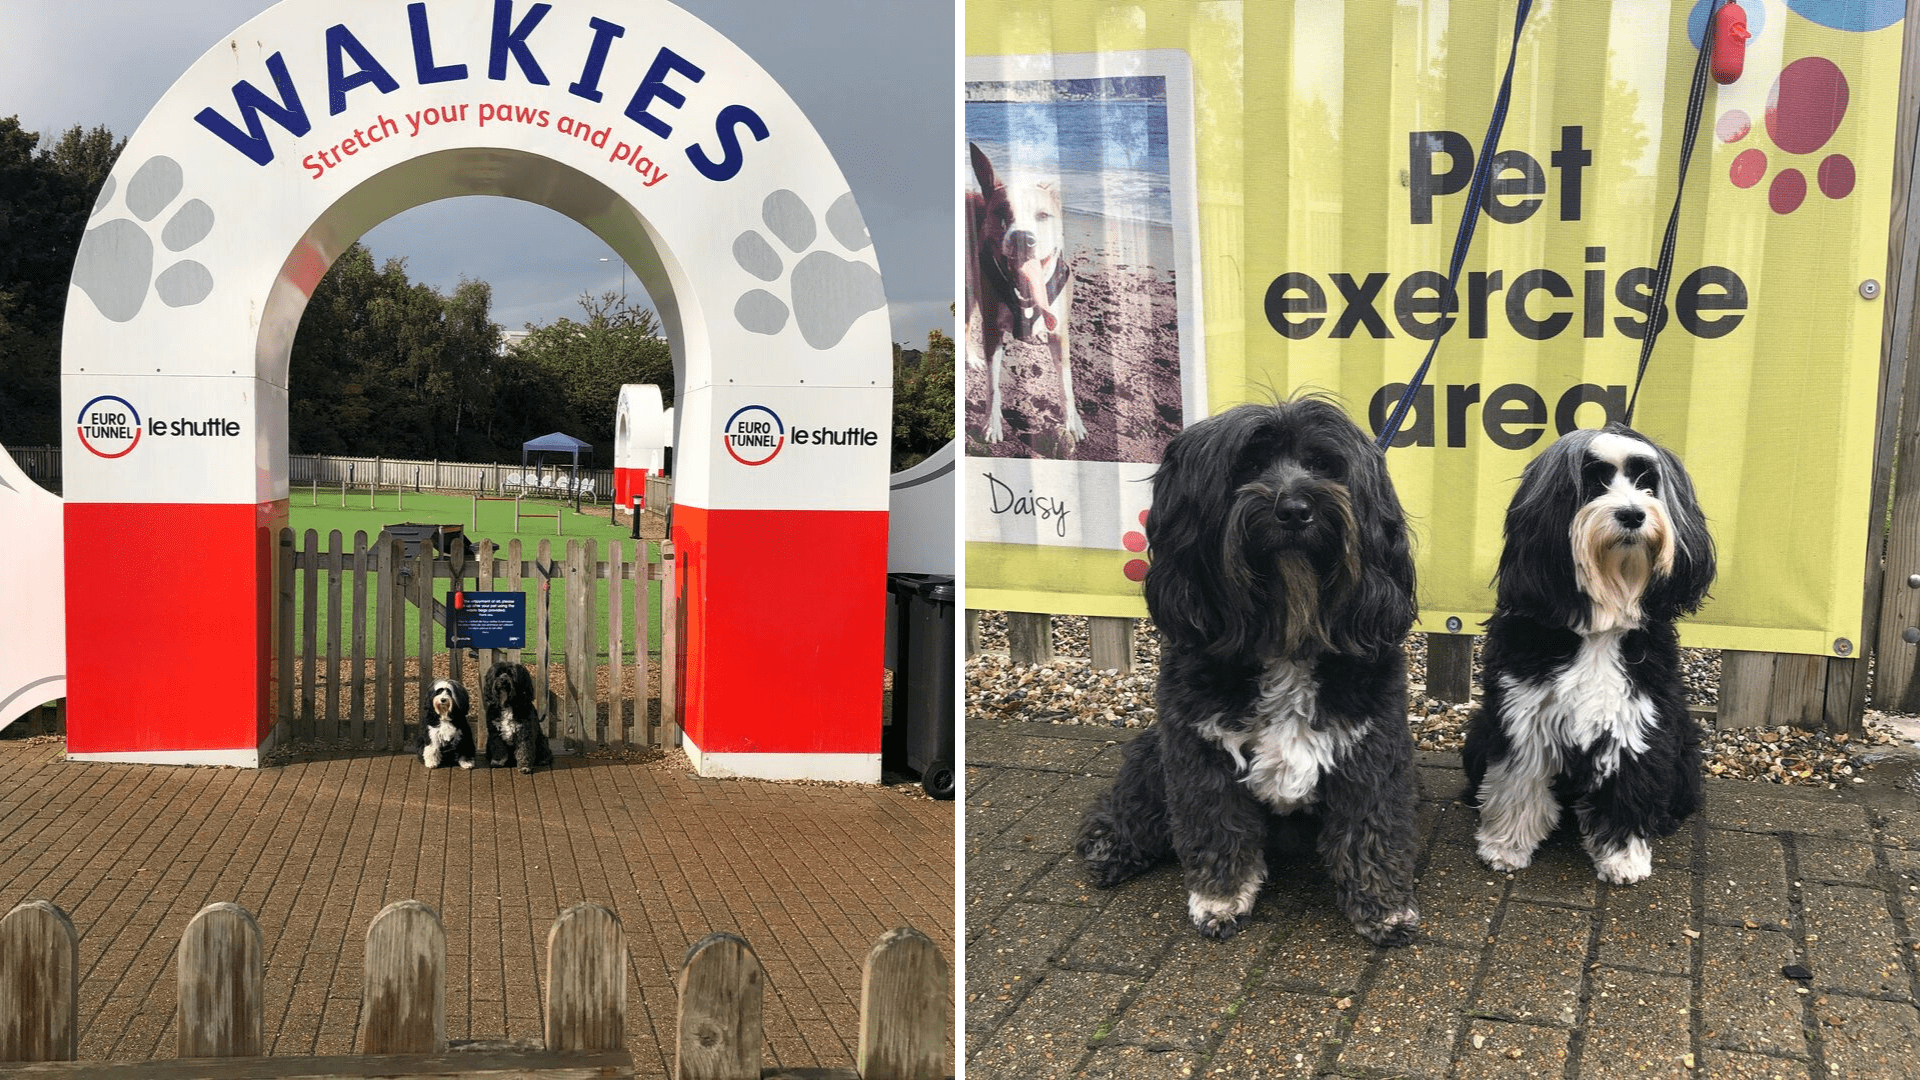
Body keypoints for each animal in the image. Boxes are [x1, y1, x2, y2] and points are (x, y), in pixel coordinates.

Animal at [960, 141, 1082, 447]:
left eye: (1043, 216)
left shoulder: (1060, 332)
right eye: (1002, 214)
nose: (1022, 238)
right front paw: (992, 424)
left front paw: (1072, 423)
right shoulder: (992, 330)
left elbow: (1066, 384)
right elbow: (993, 386)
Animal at [1082, 395, 1428, 941]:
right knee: (1130, 805)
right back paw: (1111, 843)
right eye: (1246, 467)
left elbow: (1371, 831)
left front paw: (1384, 906)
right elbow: (1217, 829)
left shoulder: (1372, 751)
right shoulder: (1198, 753)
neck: (1287, 629)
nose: (1295, 509)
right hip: (1153, 751)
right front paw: (1220, 899)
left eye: (1323, 465)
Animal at [1459, 420, 1720, 883]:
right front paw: (1505, 846)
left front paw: (1623, 857)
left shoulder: (1635, 719)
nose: (1633, 513)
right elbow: (1516, 786)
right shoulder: (1524, 718)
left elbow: (1629, 789)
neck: (1599, 627)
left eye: (1646, 481)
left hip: (1684, 756)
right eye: (1593, 483)